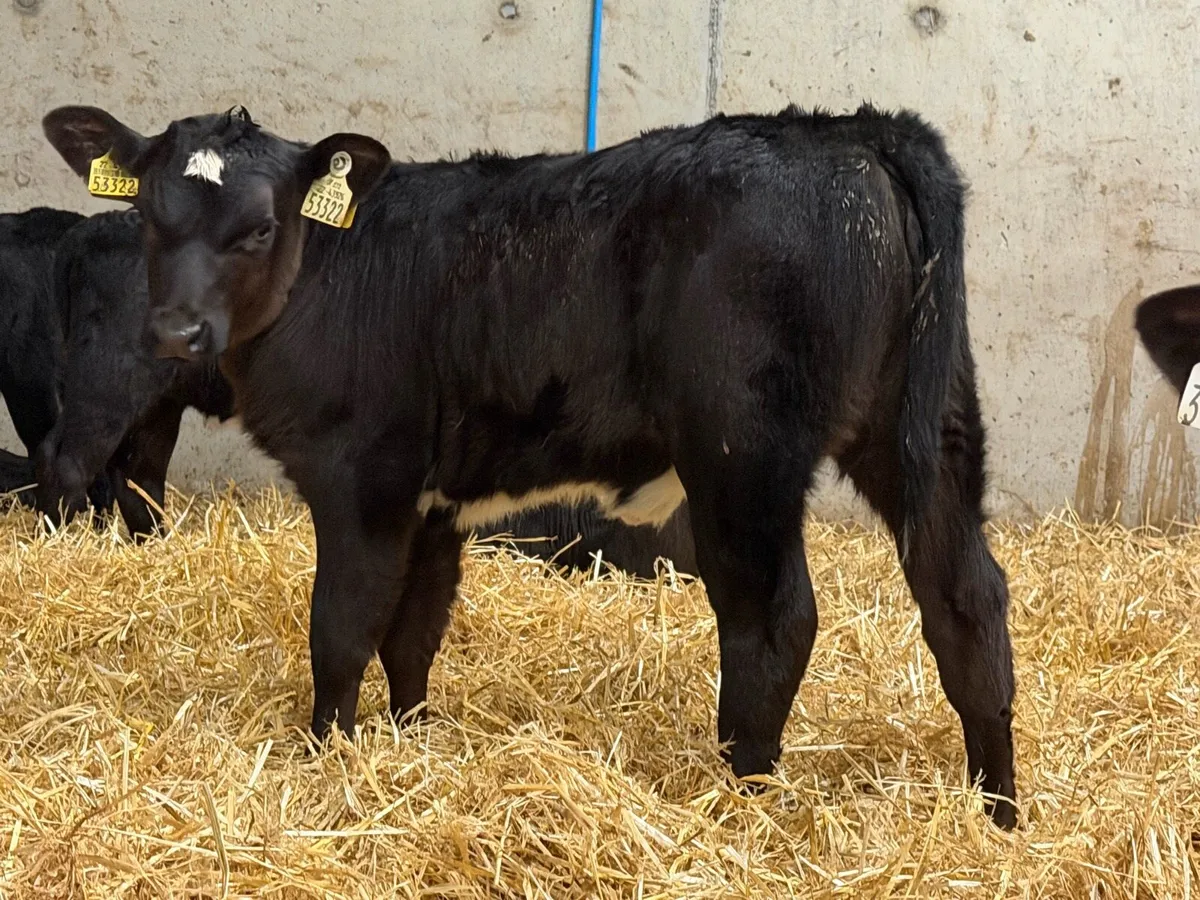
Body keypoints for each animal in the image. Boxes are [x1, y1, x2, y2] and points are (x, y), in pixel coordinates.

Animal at [42, 101, 1018, 828]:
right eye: (147, 215)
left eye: (258, 229)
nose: (177, 334)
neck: (332, 270)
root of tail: (852, 128)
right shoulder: (433, 500)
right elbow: (413, 631)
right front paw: (410, 739)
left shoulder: (363, 476)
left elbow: (342, 627)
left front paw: (328, 755)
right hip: (927, 425)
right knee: (966, 598)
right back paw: (997, 811)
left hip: (746, 451)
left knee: (775, 620)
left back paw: (740, 798)